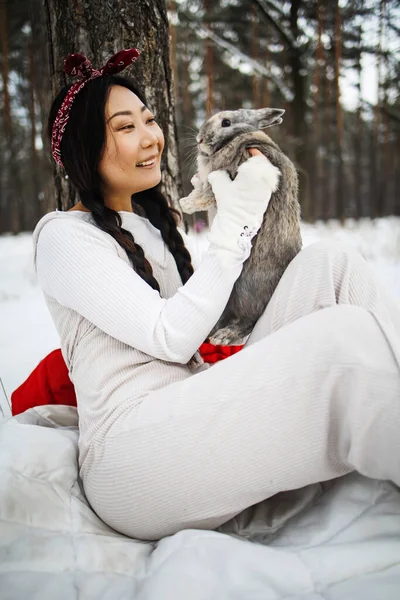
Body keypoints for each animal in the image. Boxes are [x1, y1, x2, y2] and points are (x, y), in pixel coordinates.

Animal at [180, 105, 302, 344]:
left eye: (226, 123)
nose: (199, 139)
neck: (236, 138)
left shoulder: (232, 170)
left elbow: (206, 195)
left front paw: (185, 204)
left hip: (247, 290)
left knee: (248, 321)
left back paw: (222, 337)